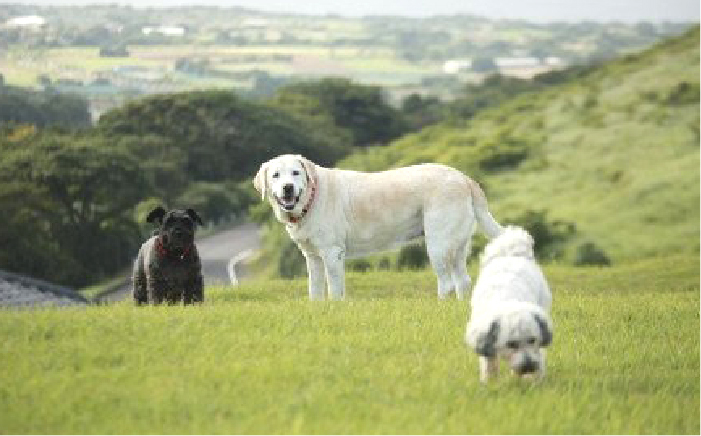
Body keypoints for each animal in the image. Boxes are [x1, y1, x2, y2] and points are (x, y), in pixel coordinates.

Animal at [252, 153, 504, 300]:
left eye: (295, 173)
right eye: (276, 175)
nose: (287, 188)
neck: (310, 198)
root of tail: (464, 178)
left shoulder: (332, 253)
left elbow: (334, 288)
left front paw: (334, 309)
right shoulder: (312, 257)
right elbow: (314, 289)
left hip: (438, 244)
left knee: (447, 283)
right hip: (457, 245)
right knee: (463, 281)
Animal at [464, 227, 552, 384]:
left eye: (532, 340)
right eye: (511, 344)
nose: (529, 367)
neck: (506, 301)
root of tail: (511, 253)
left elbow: (539, 356)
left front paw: (534, 380)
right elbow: (489, 362)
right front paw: (490, 382)